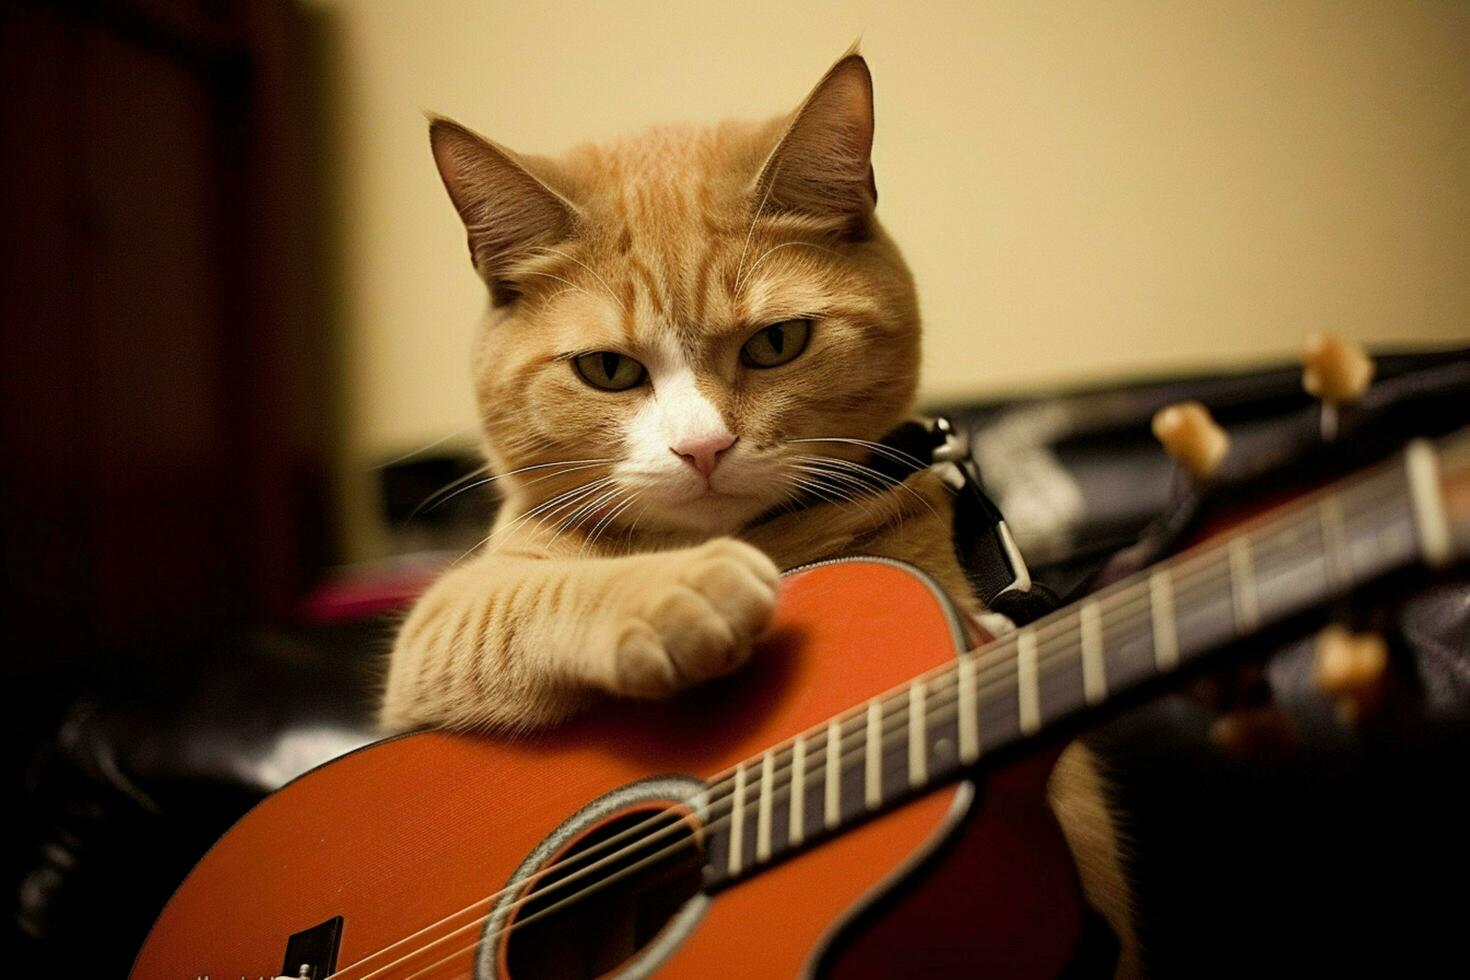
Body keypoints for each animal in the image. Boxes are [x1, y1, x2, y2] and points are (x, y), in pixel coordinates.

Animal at [379, 51, 1134, 975]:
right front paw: (682, 592)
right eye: (607, 369)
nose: (703, 447)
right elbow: (524, 603)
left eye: (777, 343)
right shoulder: (435, 638)